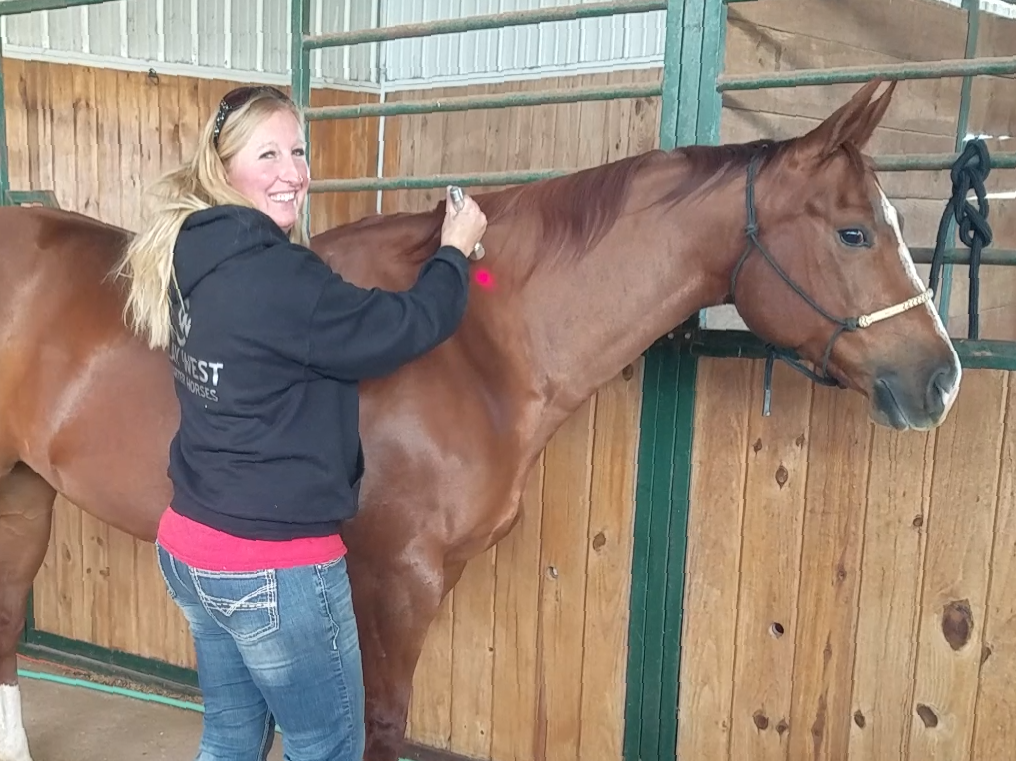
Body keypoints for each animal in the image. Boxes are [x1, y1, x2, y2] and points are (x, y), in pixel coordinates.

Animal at [0, 78, 960, 761]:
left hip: (25, 493)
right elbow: (381, 726)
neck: (478, 349)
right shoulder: (396, 581)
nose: (941, 378)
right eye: (853, 232)